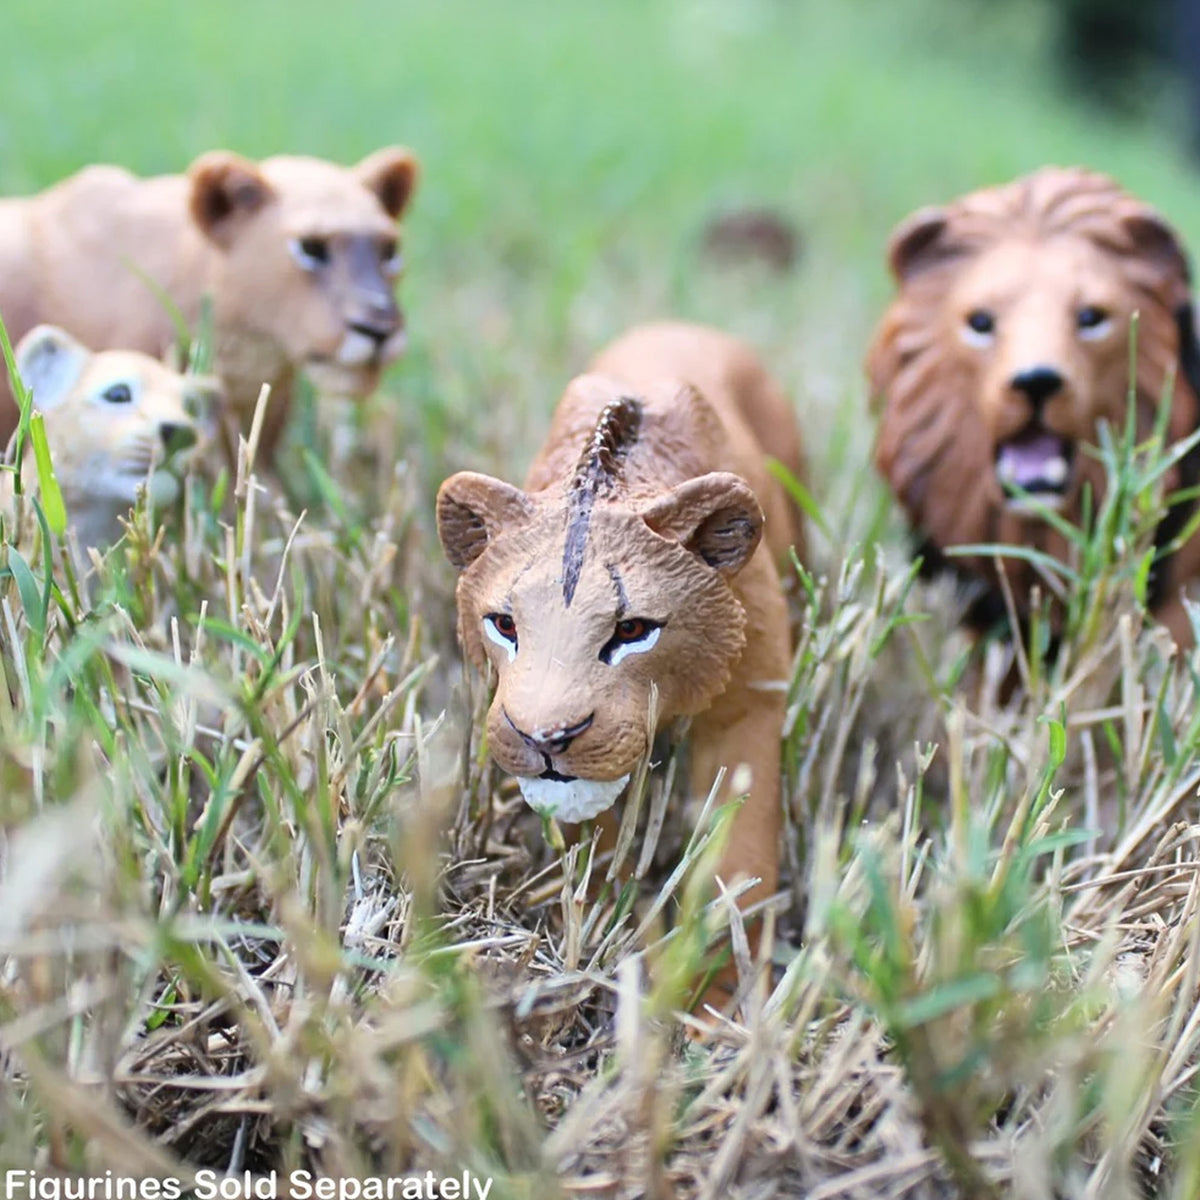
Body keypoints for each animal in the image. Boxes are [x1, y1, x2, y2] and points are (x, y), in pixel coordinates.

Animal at [437, 321, 805, 1010]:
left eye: (632, 630)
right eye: (505, 625)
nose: (544, 739)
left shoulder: (751, 701)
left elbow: (738, 861)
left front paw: (723, 1001)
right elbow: (604, 866)